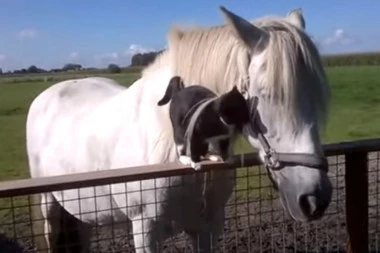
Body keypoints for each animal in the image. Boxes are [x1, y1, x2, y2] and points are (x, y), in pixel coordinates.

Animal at [25, 5, 332, 253]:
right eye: (267, 94)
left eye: (319, 94)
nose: (314, 199)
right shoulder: (145, 231)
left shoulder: (207, 228)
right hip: (49, 207)